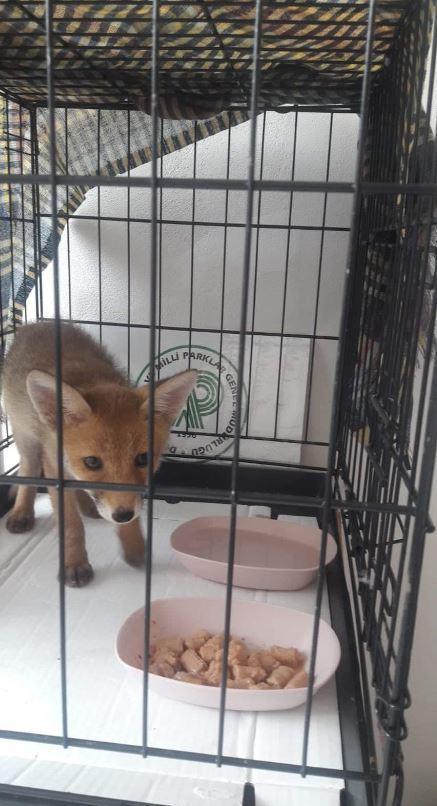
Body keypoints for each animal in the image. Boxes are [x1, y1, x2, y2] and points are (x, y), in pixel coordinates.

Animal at [1, 321, 197, 587]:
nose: (122, 515)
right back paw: (22, 511)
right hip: (26, 438)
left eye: (143, 459)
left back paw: (88, 506)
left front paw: (134, 545)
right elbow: (71, 525)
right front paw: (75, 564)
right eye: (92, 462)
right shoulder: (54, 467)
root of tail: (37, 323)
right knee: (28, 470)